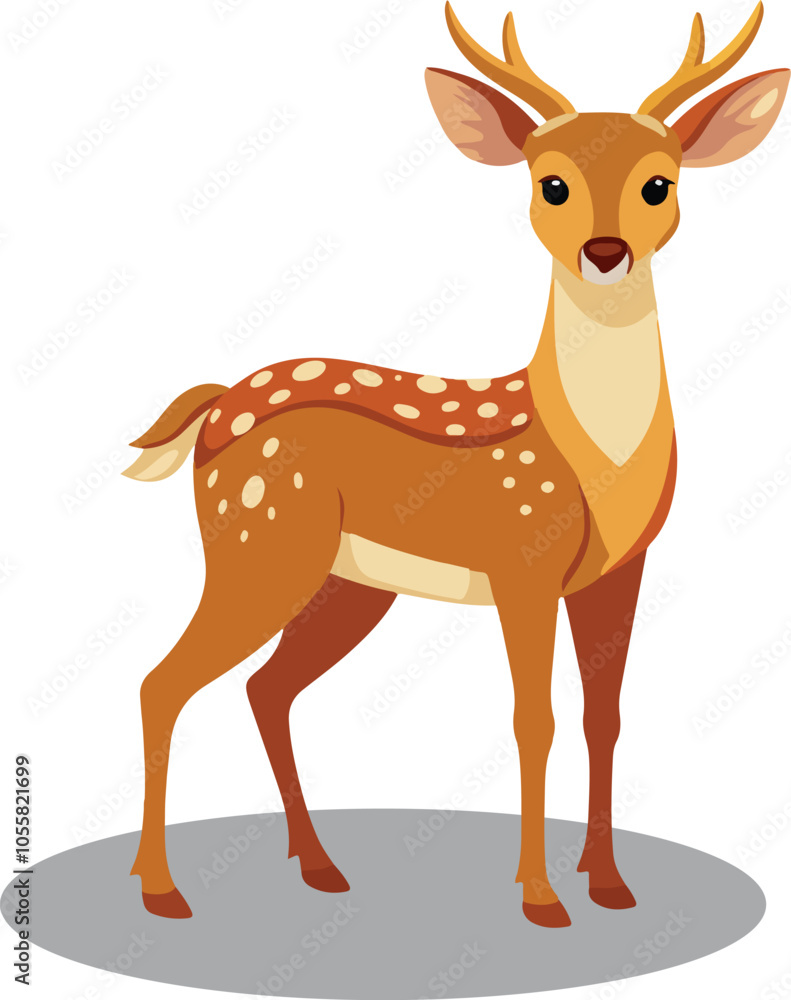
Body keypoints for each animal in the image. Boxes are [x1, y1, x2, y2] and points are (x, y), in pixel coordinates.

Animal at [122, 3, 788, 927]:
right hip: (257, 541)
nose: (605, 252)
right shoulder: (521, 561)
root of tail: (216, 406)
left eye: (660, 183)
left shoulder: (620, 569)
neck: (592, 458)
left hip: (344, 582)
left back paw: (318, 867)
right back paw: (161, 890)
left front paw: (609, 885)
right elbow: (532, 718)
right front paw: (541, 898)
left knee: (265, 687)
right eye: (550, 183)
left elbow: (604, 715)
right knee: (164, 682)